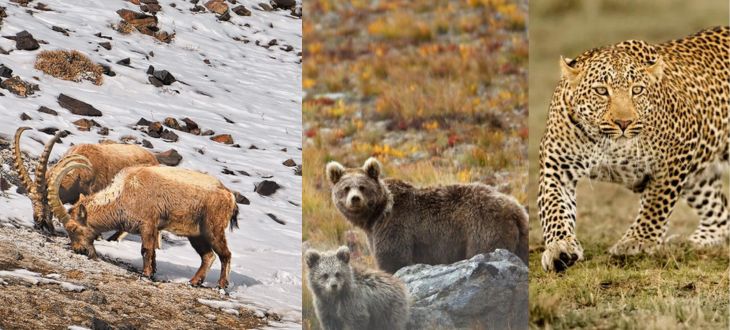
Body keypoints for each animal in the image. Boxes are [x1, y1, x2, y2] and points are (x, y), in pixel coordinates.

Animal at [328, 158, 528, 274]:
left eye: (362, 187)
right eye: (346, 188)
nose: (355, 199)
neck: (375, 216)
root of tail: (515, 209)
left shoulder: (395, 226)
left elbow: (393, 259)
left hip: (482, 229)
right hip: (520, 238)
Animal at [536, 26, 728, 274]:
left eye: (637, 90)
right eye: (601, 91)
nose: (624, 122)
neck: (607, 145)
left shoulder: (680, 148)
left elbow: (657, 203)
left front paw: (637, 242)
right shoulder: (557, 167)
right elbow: (554, 208)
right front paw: (560, 247)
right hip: (698, 178)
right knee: (720, 213)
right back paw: (691, 243)